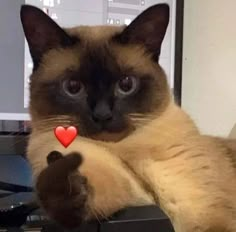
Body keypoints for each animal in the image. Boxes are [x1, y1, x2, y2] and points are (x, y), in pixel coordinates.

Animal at [20, 3, 236, 232]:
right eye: (73, 87)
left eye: (126, 84)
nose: (102, 115)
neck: (125, 148)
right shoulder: (121, 195)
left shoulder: (208, 219)